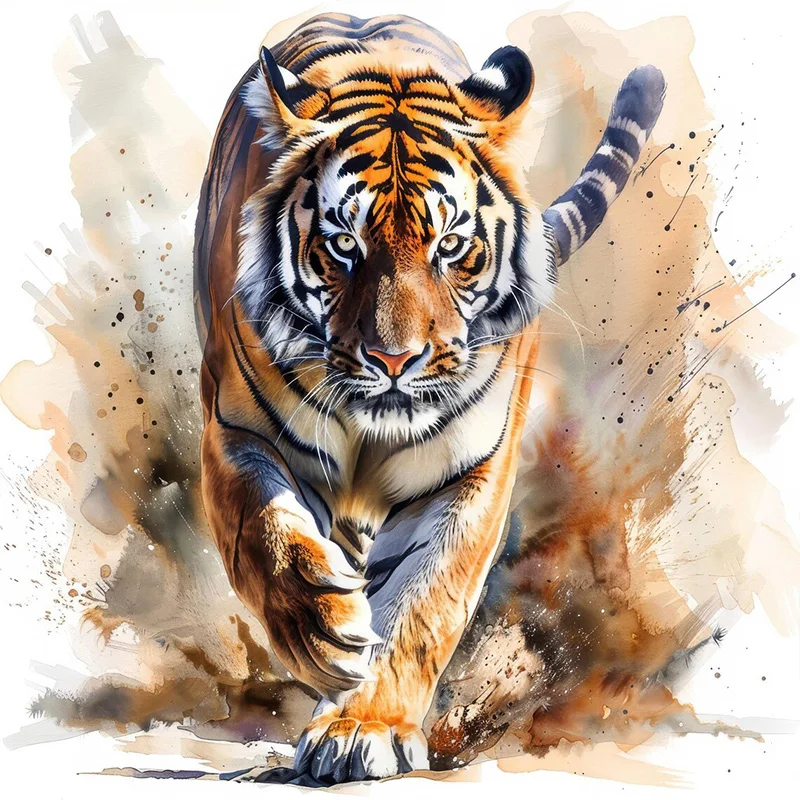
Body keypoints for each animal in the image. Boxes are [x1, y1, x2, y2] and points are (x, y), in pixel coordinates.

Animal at [194, 12, 665, 784]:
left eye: (449, 246)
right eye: (343, 244)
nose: (395, 360)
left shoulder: (473, 470)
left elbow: (424, 599)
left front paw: (363, 728)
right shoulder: (238, 432)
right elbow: (266, 536)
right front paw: (325, 634)